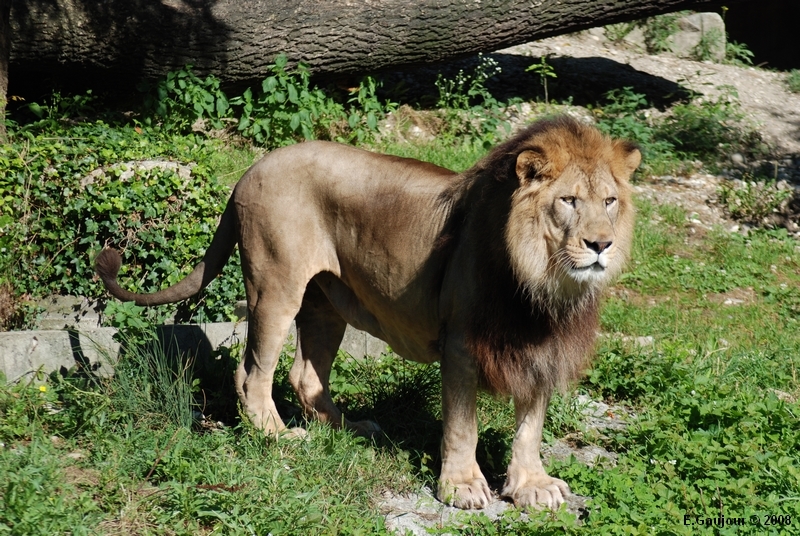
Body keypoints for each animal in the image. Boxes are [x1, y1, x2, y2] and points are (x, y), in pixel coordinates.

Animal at [97, 115, 640, 508]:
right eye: (568, 201)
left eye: (610, 201)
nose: (601, 245)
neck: (542, 283)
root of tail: (253, 168)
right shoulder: (461, 344)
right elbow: (462, 425)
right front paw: (462, 486)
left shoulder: (542, 347)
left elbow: (531, 426)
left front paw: (533, 485)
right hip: (276, 286)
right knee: (252, 373)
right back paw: (280, 437)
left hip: (325, 304)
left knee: (304, 375)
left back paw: (349, 429)